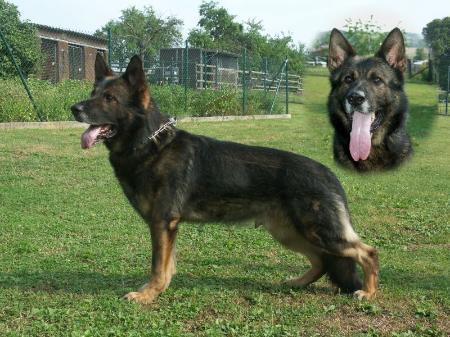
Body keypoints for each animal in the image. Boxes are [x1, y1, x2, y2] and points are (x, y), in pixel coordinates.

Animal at [71, 54, 380, 302]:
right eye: (93, 92)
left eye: (109, 99)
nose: (74, 109)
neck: (149, 142)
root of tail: (328, 173)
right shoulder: (167, 228)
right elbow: (167, 266)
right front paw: (160, 290)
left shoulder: (162, 223)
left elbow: (158, 266)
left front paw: (147, 295)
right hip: (291, 233)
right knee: (321, 261)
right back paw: (298, 282)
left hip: (320, 232)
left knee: (367, 252)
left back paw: (368, 292)